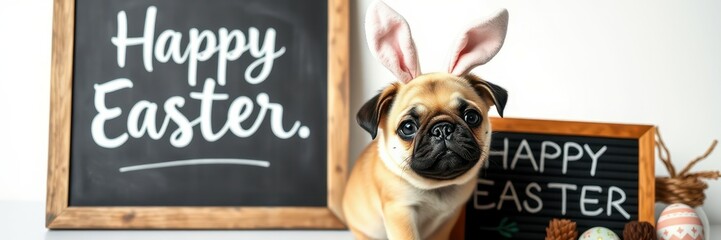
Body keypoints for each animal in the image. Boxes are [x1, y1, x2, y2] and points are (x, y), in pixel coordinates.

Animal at [342, 1, 506, 240]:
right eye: (408, 127)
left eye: (471, 117)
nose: (442, 129)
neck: (436, 187)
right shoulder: (400, 211)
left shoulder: (447, 218)